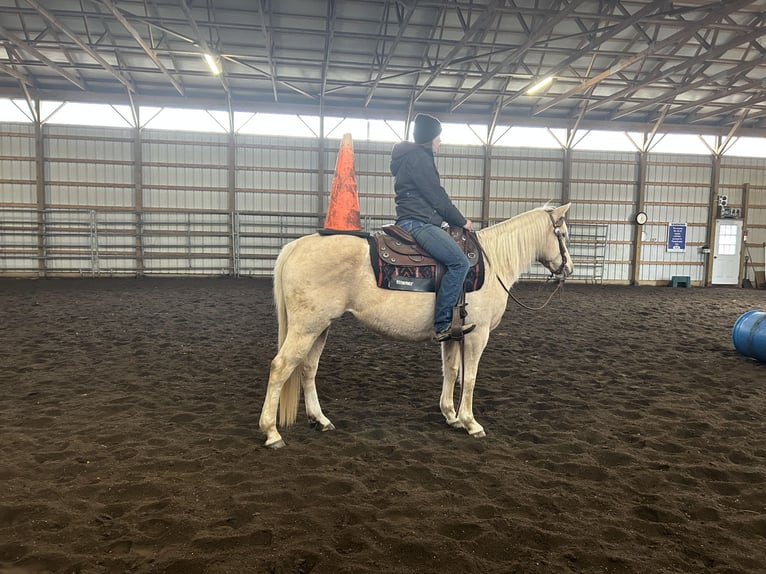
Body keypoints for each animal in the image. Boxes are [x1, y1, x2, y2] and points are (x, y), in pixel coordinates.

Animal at [260, 204, 572, 450]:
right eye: (564, 234)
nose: (567, 269)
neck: (492, 263)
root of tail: (296, 246)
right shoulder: (477, 335)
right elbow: (469, 378)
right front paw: (471, 423)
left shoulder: (453, 334)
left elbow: (451, 371)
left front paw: (451, 416)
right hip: (306, 328)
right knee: (280, 367)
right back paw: (272, 433)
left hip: (320, 327)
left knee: (307, 369)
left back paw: (321, 420)